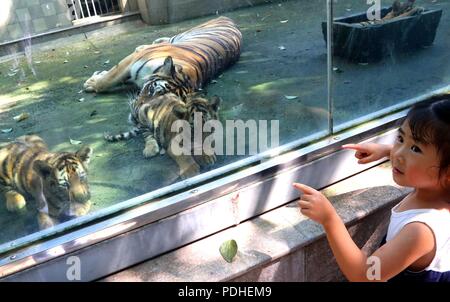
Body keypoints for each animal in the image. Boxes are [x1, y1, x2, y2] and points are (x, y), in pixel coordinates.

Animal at [82, 16, 241, 98]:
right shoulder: (131, 61)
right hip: (184, 34)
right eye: (154, 90)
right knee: (168, 38)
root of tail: (227, 18)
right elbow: (107, 79)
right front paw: (92, 83)